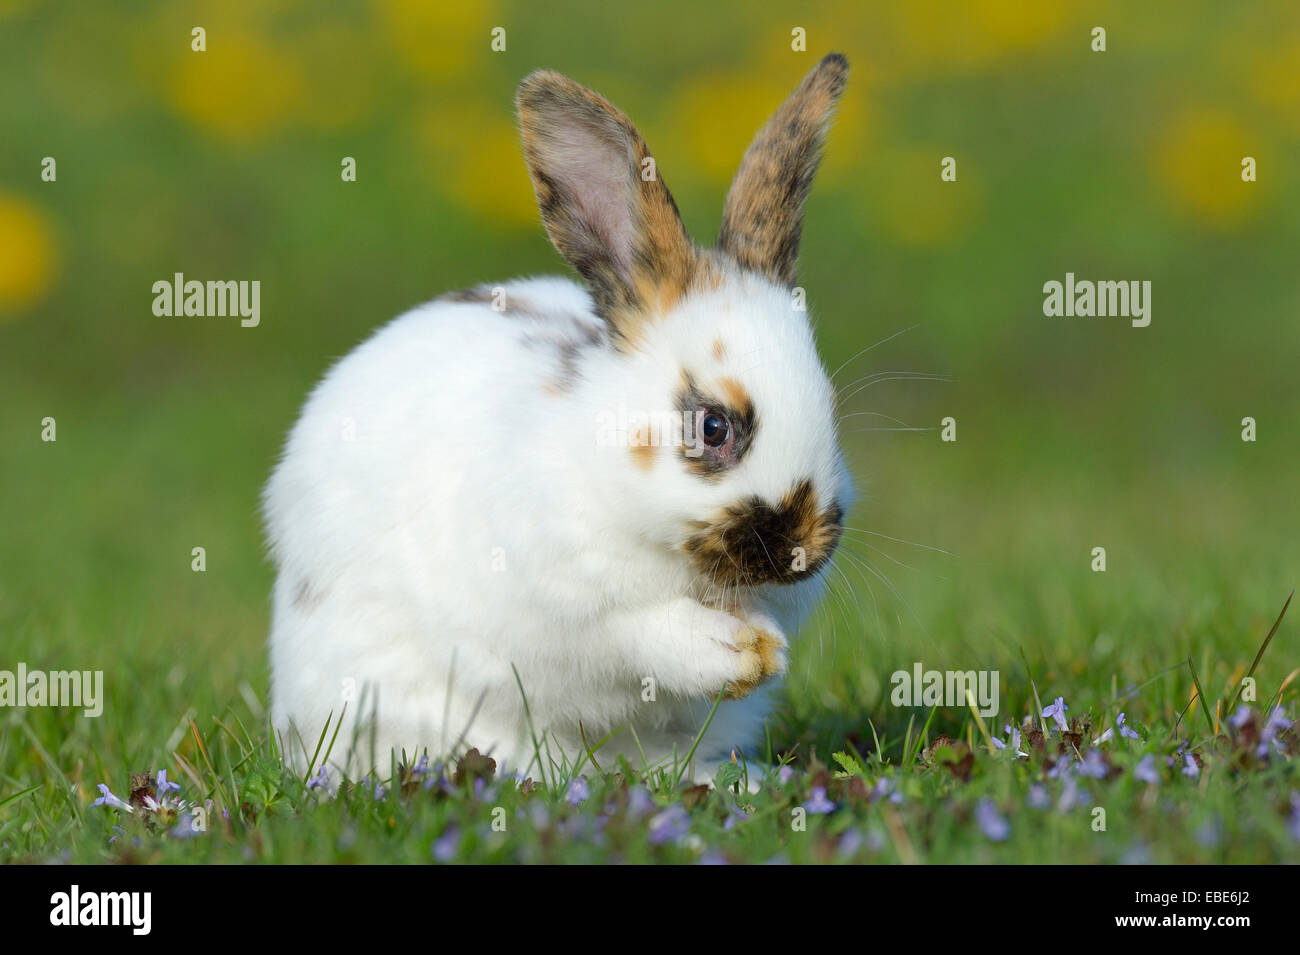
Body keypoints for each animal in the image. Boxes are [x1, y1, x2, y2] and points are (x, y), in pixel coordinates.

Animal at [265, 53, 853, 786]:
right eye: (713, 427)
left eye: (830, 405)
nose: (802, 550)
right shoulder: (570, 614)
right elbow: (646, 634)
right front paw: (736, 649)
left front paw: (765, 648)